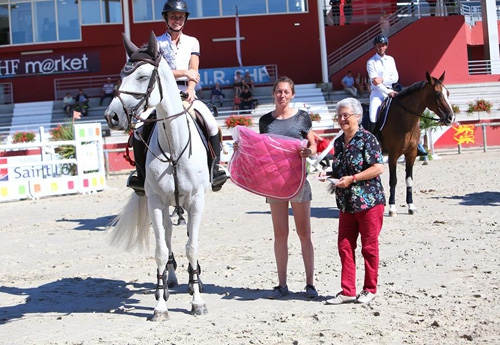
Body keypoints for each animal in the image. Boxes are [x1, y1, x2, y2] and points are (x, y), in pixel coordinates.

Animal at [103, 32, 209, 320]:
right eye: (122, 74)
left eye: (141, 76)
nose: (111, 116)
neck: (174, 145)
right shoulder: (156, 202)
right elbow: (161, 250)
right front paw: (160, 305)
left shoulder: (196, 201)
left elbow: (193, 246)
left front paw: (197, 300)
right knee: (169, 235)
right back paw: (170, 281)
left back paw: (193, 280)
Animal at [376, 71, 456, 215]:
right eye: (437, 93)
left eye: (448, 93)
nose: (450, 118)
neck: (403, 119)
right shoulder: (393, 155)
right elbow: (393, 180)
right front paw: (392, 208)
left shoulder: (411, 154)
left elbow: (409, 180)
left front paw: (411, 206)